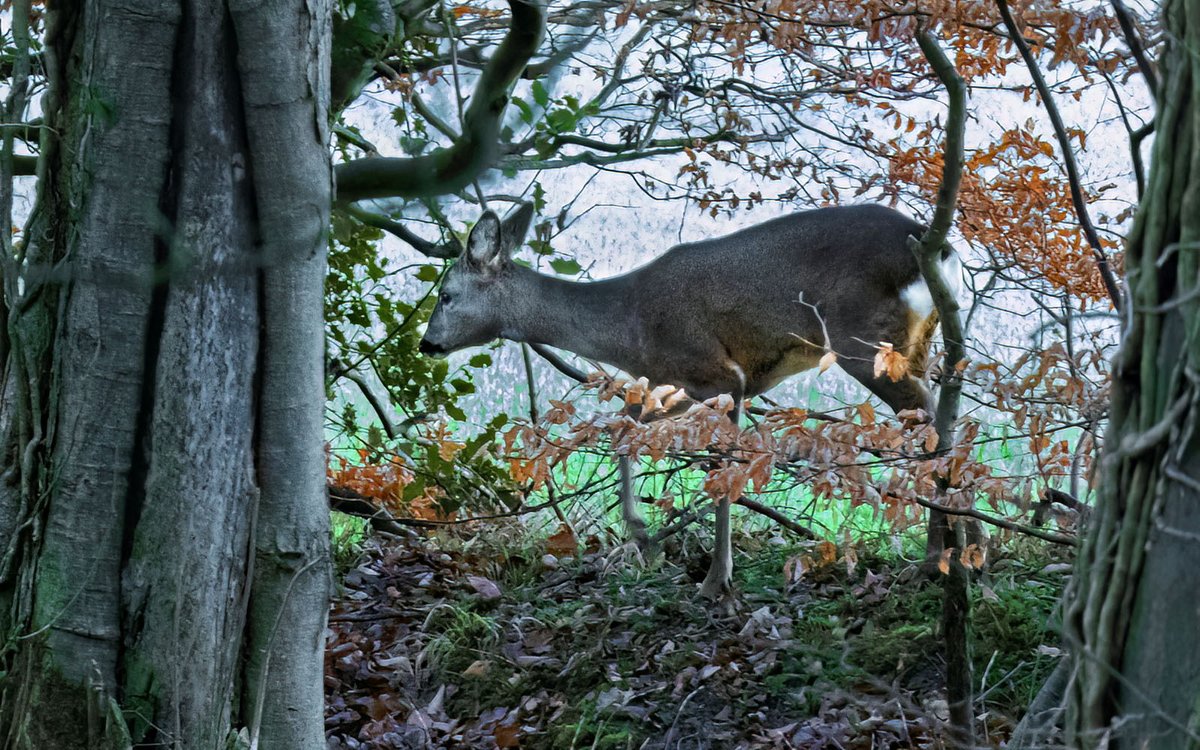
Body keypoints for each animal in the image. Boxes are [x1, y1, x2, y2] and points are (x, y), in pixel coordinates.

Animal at [419, 204, 959, 602]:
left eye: (446, 295)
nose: (427, 344)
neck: (626, 327)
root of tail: (937, 248)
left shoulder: (720, 376)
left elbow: (721, 476)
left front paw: (716, 581)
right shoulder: (677, 382)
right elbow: (622, 426)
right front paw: (640, 533)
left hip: (865, 340)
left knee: (931, 427)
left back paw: (933, 562)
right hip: (916, 345)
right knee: (944, 420)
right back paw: (962, 552)